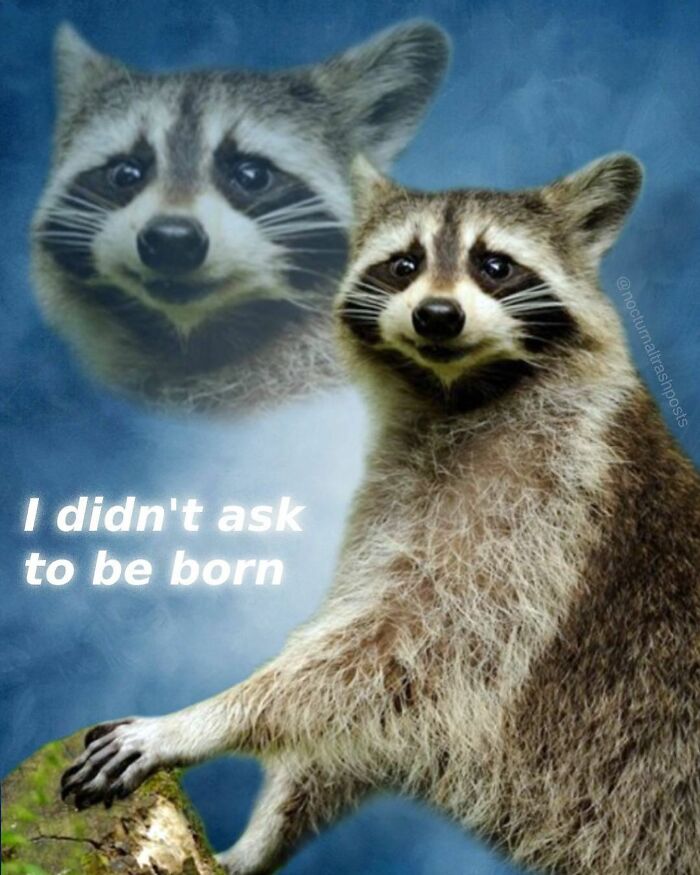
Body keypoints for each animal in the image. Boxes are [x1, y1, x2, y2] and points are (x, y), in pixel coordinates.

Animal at [59, 155, 700, 875]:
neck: (456, 394)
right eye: (403, 264)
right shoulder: (399, 501)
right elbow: (375, 688)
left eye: (495, 265)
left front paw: (207, 717)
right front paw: (266, 832)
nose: (437, 315)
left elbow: (409, 649)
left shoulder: (549, 504)